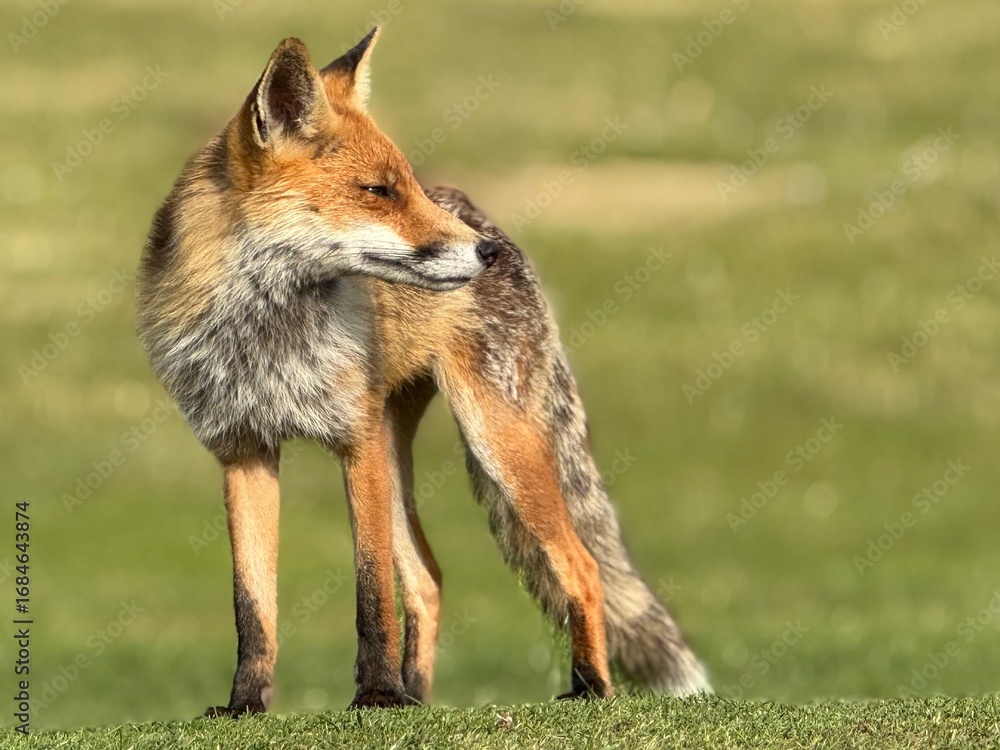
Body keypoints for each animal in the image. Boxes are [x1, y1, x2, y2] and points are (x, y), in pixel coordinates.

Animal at [136, 28, 710, 714]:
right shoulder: (243, 448)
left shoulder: (354, 439)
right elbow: (253, 602)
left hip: (495, 441)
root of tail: (486, 216)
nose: (485, 253)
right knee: (430, 577)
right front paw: (247, 703)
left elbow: (370, 590)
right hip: (399, 451)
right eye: (378, 191)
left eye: (407, 185)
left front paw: (378, 694)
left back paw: (589, 686)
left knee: (582, 564)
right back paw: (422, 693)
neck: (267, 330)